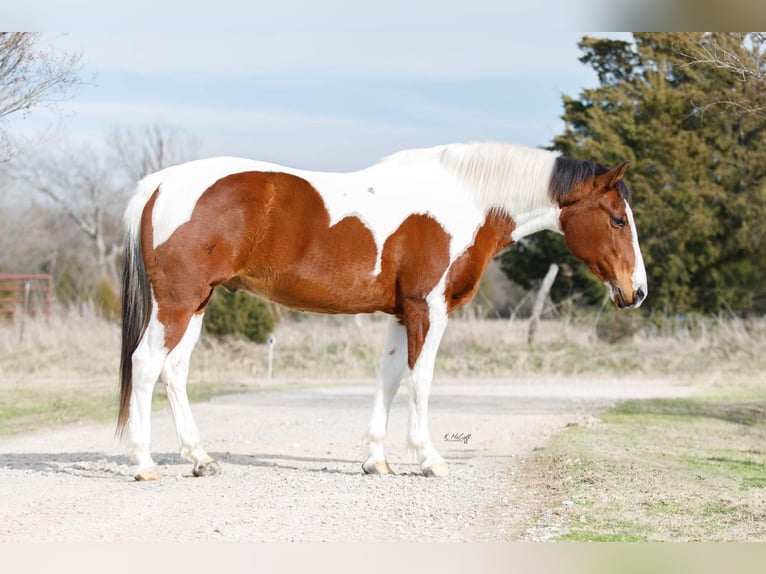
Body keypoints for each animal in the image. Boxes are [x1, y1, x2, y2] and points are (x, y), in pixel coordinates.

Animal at [118, 143, 648, 482]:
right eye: (617, 220)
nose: (637, 291)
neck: (463, 199)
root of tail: (159, 184)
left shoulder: (400, 313)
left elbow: (390, 378)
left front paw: (376, 459)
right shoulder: (428, 308)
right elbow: (421, 379)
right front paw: (429, 458)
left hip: (197, 302)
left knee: (174, 371)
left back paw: (200, 458)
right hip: (178, 302)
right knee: (145, 365)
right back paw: (144, 464)